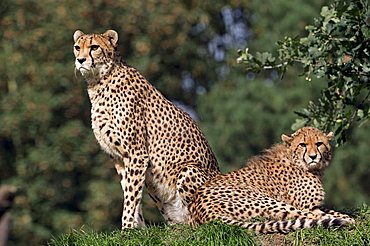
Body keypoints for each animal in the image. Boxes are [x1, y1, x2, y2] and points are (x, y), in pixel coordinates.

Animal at [73, 29, 221, 229]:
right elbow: (131, 193)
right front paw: (139, 229)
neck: (100, 81)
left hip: (187, 170)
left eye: (94, 47)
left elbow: (131, 196)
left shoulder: (137, 153)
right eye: (77, 47)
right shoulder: (120, 158)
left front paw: (127, 228)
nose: (80, 60)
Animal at [189, 127, 354, 233]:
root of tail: (202, 211)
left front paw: (346, 215)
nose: (313, 156)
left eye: (319, 144)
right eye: (303, 145)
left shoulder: (315, 205)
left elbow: (331, 210)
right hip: (266, 200)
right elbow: (320, 213)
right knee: (304, 216)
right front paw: (348, 218)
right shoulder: (307, 207)